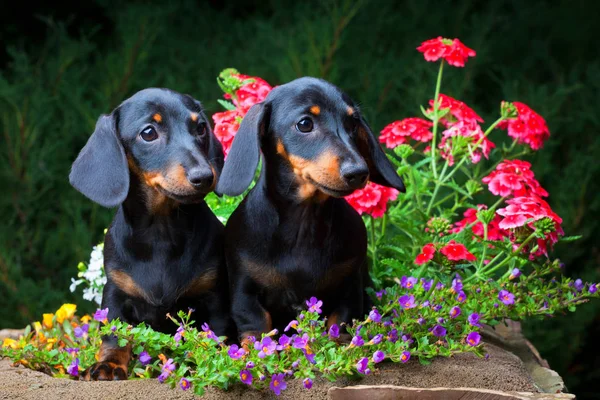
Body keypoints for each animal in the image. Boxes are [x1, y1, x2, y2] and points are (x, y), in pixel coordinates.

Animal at [68, 88, 232, 382]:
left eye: (201, 128)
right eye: (148, 133)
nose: (204, 176)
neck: (161, 232)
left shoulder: (214, 297)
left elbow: (214, 335)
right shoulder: (116, 293)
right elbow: (114, 337)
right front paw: (108, 364)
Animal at [213, 77, 406, 344]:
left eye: (352, 123)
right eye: (305, 124)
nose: (359, 172)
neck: (303, 224)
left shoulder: (349, 288)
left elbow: (339, 325)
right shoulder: (245, 293)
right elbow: (256, 329)